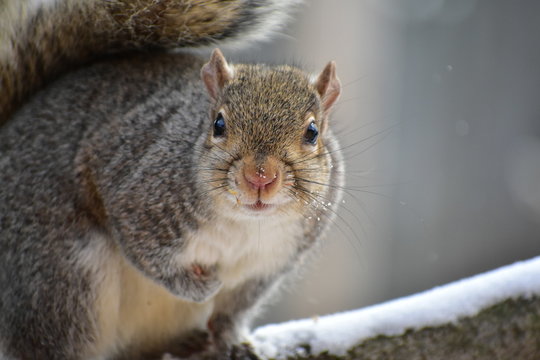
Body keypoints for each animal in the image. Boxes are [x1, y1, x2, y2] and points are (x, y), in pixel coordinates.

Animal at [0, 0, 344, 360]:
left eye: (312, 132)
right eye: (218, 124)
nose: (259, 177)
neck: (244, 224)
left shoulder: (267, 266)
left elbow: (230, 312)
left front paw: (231, 342)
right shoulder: (138, 198)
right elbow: (149, 259)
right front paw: (200, 287)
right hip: (59, 281)